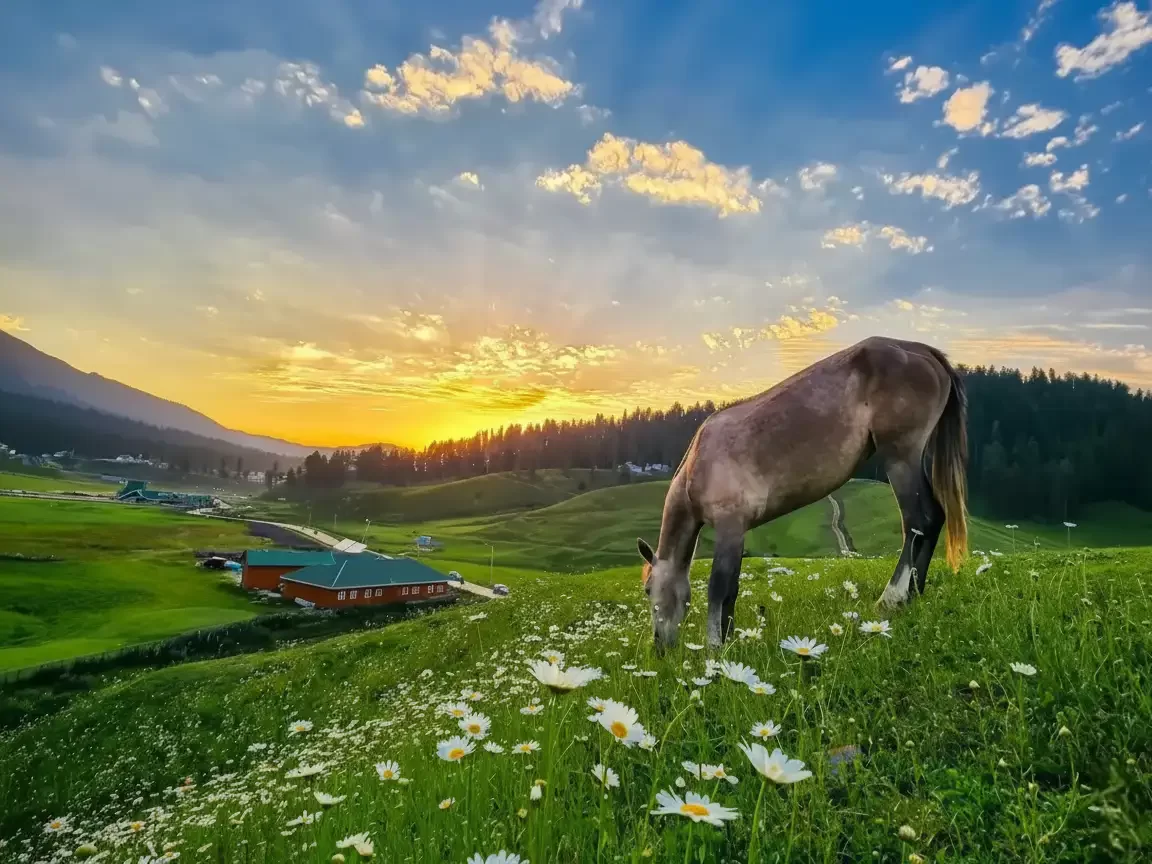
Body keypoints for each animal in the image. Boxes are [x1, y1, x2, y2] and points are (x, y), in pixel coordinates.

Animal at [637, 336, 968, 649]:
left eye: (648, 589)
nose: (659, 646)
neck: (698, 463)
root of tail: (921, 350)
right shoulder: (738, 532)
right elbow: (731, 589)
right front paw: (729, 641)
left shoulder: (730, 526)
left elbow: (719, 588)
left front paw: (715, 646)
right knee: (934, 518)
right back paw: (914, 595)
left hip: (900, 458)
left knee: (918, 521)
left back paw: (892, 598)